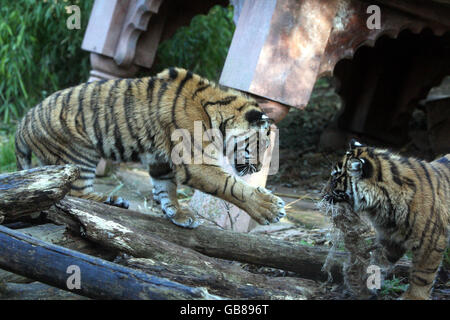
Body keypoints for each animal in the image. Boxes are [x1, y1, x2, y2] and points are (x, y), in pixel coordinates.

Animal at [16, 67, 288, 228]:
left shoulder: (160, 160)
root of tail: (23, 121)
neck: (218, 113)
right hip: (79, 155)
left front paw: (178, 215)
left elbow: (166, 189)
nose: (260, 168)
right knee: (74, 195)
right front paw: (268, 208)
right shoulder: (195, 161)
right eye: (263, 144)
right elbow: (230, 186)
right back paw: (112, 201)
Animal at [322, 139, 448, 298]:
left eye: (334, 180)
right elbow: (377, 263)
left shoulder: (431, 242)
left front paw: (413, 297)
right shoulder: (391, 239)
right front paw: (362, 287)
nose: (322, 194)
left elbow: (422, 276)